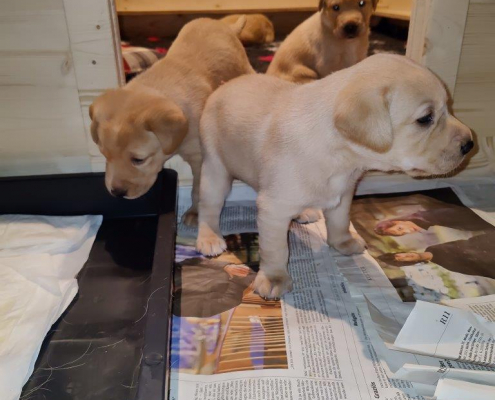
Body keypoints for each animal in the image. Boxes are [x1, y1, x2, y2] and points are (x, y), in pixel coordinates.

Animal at [89, 18, 254, 225]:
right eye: (105, 155)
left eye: (138, 160)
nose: (117, 192)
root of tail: (222, 24)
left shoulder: (201, 158)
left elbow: (199, 189)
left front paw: (196, 212)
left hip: (242, 66)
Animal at [196, 54, 474, 299]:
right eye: (425, 119)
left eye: (448, 106)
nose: (470, 143)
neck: (342, 156)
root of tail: (225, 85)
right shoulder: (273, 208)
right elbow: (276, 249)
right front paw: (274, 278)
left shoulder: (343, 193)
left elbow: (339, 222)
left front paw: (343, 243)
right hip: (215, 171)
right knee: (208, 207)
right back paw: (209, 238)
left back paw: (305, 212)